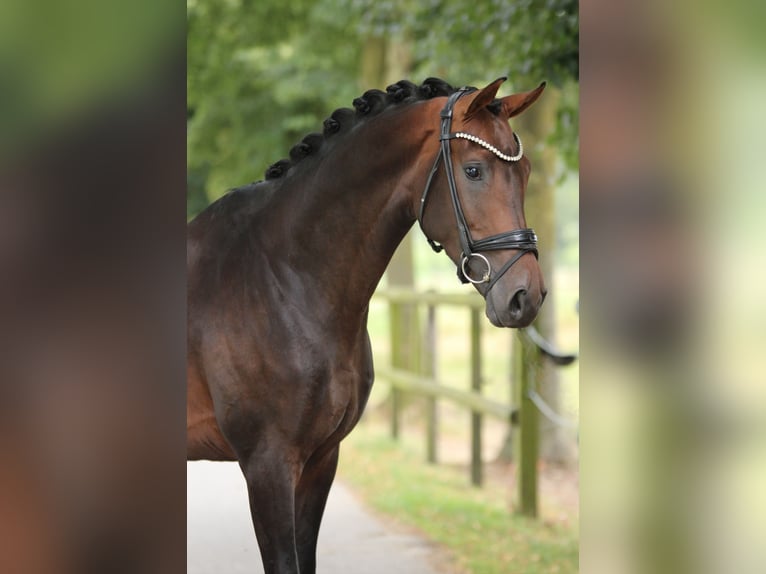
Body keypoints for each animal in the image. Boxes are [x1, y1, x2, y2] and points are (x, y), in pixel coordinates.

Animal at [189, 77, 548, 574]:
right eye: (474, 170)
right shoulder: (267, 465)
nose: (525, 296)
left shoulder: (320, 461)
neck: (283, 277)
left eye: (526, 170)